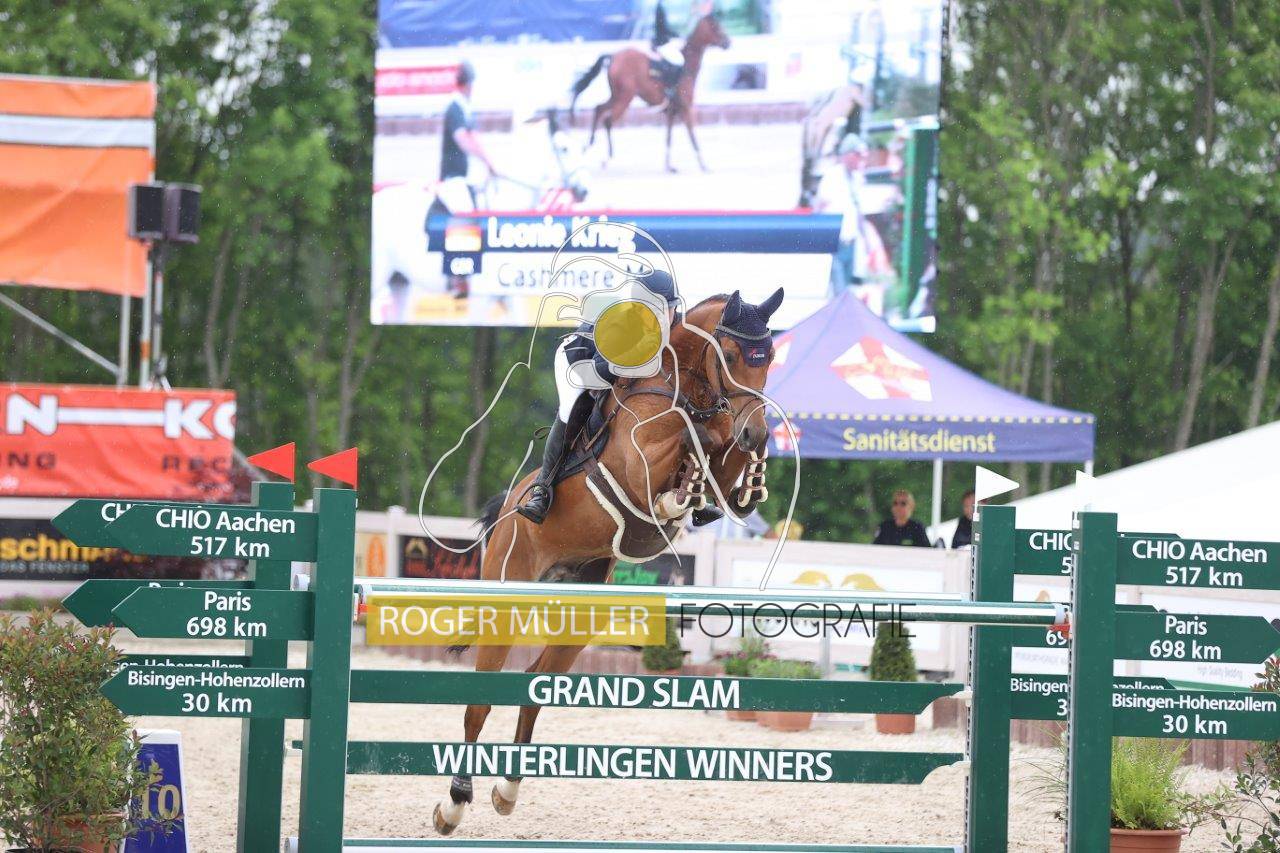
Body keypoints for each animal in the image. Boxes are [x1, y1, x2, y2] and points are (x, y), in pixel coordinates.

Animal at [432, 289, 783, 835]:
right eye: (732, 355)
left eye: (768, 359)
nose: (757, 431)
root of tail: (507, 512)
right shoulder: (637, 458)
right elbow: (686, 442)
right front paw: (680, 494)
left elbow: (719, 458)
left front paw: (735, 482)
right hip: (507, 597)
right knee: (479, 704)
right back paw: (454, 802)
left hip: (578, 615)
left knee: (536, 686)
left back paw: (507, 790)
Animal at [569, 13, 731, 173]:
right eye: (716, 27)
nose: (728, 42)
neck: (685, 68)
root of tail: (614, 56)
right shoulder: (686, 109)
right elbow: (692, 137)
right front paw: (704, 165)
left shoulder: (672, 112)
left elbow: (669, 138)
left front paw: (669, 165)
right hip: (624, 99)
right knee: (607, 121)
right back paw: (606, 159)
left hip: (616, 96)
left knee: (599, 109)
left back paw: (588, 146)